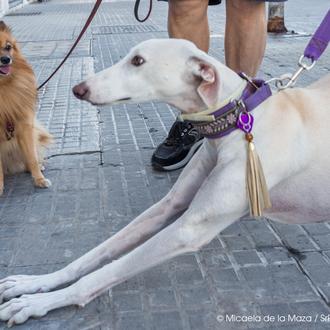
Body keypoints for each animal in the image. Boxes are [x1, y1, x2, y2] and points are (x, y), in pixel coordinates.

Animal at [0, 21, 51, 196]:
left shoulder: (24, 127)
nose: (6, 59)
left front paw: (39, 179)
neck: (2, 87)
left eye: (8, 47)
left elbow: (32, 158)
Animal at [0, 39, 330, 324]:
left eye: (138, 61)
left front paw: (39, 303)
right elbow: (93, 255)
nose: (78, 89)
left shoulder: (188, 229)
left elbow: (103, 272)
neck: (238, 122)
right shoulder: (169, 205)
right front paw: (36, 283)